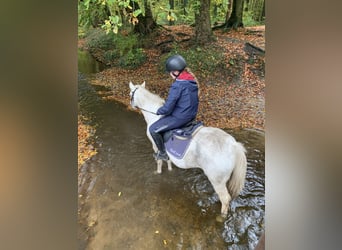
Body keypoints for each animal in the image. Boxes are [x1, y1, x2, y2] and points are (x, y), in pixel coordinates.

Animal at [130, 81, 247, 216]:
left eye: (130, 93)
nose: (131, 105)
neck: (155, 116)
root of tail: (233, 145)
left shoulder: (156, 146)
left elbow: (159, 161)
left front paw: (158, 172)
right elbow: (168, 160)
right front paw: (169, 169)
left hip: (217, 180)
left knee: (225, 199)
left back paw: (221, 216)